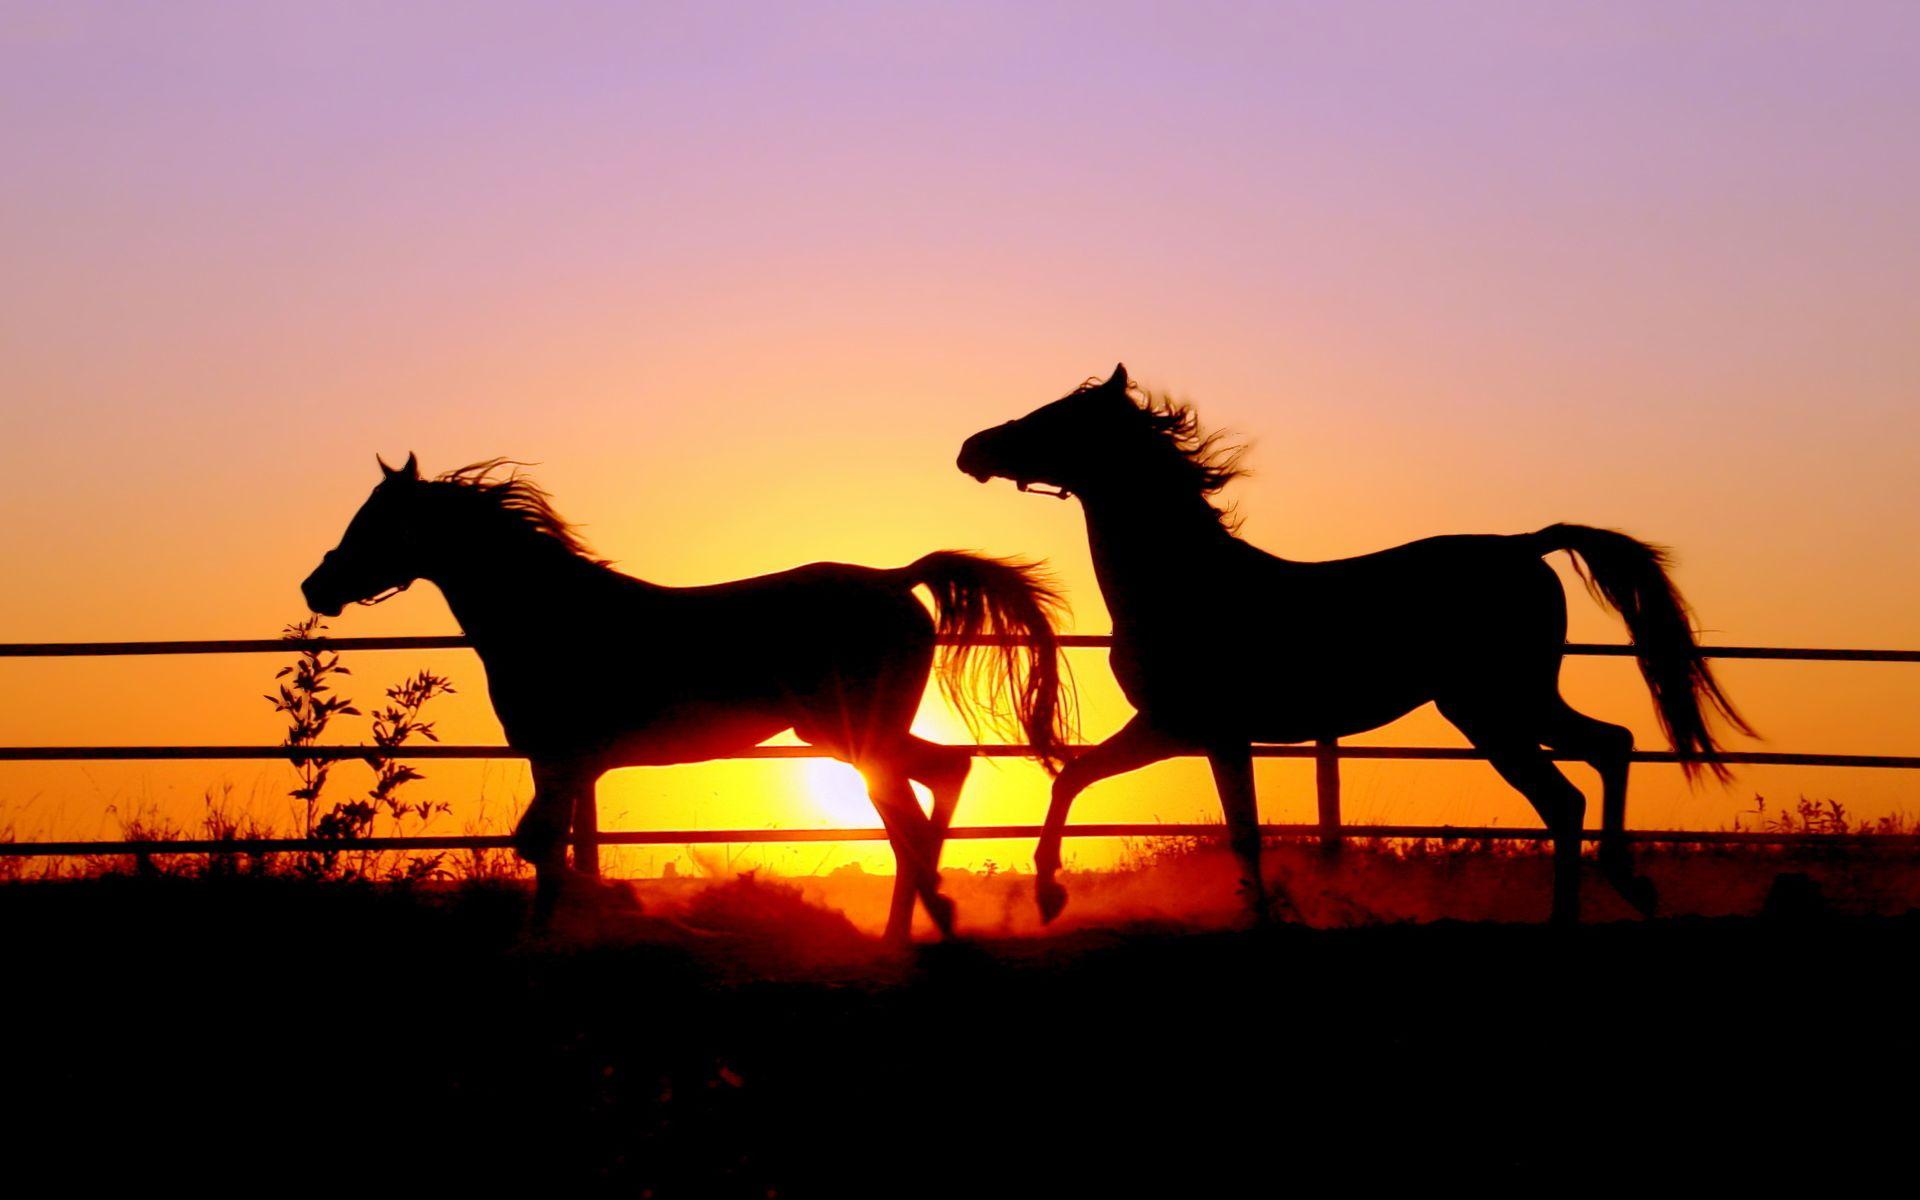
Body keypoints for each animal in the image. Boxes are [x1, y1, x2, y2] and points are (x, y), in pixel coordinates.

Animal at [301, 454, 1073, 940]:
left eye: (372, 524)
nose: (316, 585)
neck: (549, 613)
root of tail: (894, 579)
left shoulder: (558, 757)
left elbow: (542, 847)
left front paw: (555, 936)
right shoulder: (565, 765)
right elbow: (548, 848)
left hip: (853, 738)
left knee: (914, 812)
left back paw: (931, 919)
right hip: (854, 737)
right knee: (941, 781)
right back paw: (915, 923)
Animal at [957, 365, 1753, 925]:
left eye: (1057, 418)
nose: (972, 448)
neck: (1186, 582)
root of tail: (1524, 545)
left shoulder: (1202, 730)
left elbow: (1240, 830)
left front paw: (1263, 916)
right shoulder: (1173, 729)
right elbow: (1075, 779)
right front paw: (1050, 894)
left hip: (1493, 708)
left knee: (1566, 793)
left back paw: (1573, 913)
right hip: (1513, 702)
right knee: (1608, 748)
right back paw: (1628, 885)